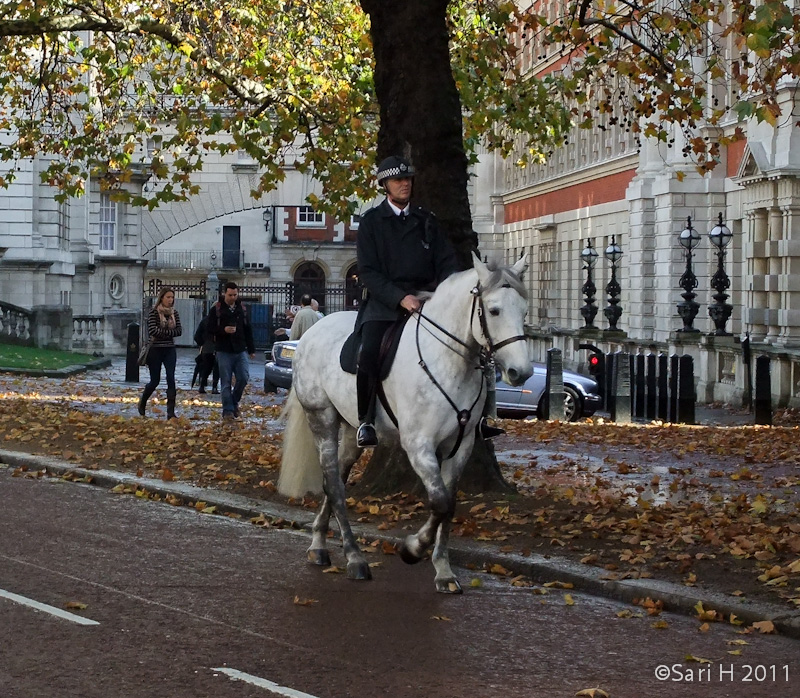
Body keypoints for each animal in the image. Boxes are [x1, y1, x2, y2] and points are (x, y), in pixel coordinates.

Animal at [276, 253, 532, 588]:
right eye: (494, 310)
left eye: (524, 310)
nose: (521, 372)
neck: (449, 362)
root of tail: (311, 332)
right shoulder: (419, 445)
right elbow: (440, 501)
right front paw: (412, 549)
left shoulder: (459, 447)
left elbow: (449, 505)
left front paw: (443, 570)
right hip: (322, 419)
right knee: (334, 485)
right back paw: (354, 558)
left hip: (352, 431)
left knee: (335, 481)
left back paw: (319, 544)